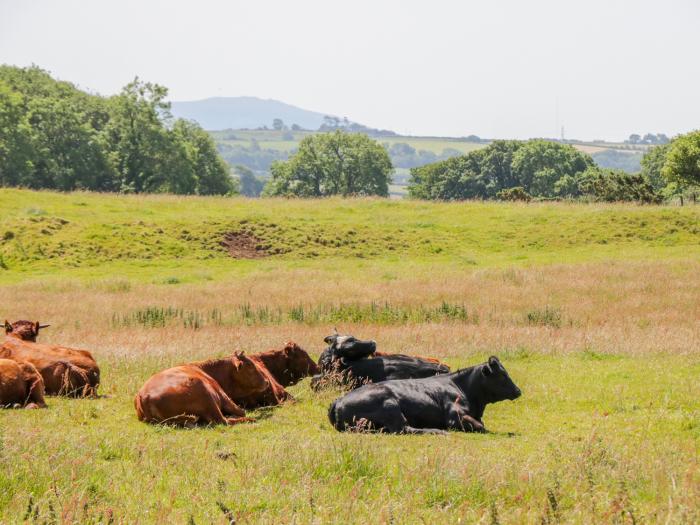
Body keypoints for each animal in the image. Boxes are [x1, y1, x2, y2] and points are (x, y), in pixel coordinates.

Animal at [135, 350, 288, 424]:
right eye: (250, 365)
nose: (266, 381)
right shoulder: (223, 396)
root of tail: (144, 396)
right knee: (223, 421)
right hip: (206, 394)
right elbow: (241, 411)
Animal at [328, 356, 520, 434]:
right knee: (403, 429)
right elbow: (481, 426)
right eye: (502, 375)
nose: (518, 391)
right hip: (390, 405)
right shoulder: (455, 417)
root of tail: (338, 400)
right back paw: (437, 431)